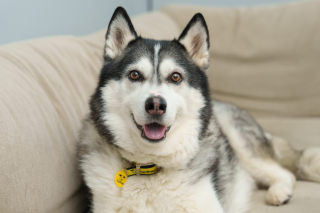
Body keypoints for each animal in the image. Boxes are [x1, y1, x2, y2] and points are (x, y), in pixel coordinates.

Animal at [77, 6, 320, 213]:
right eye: (135, 74)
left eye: (175, 77)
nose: (156, 105)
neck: (151, 165)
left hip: (238, 139)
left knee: (286, 173)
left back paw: (279, 192)